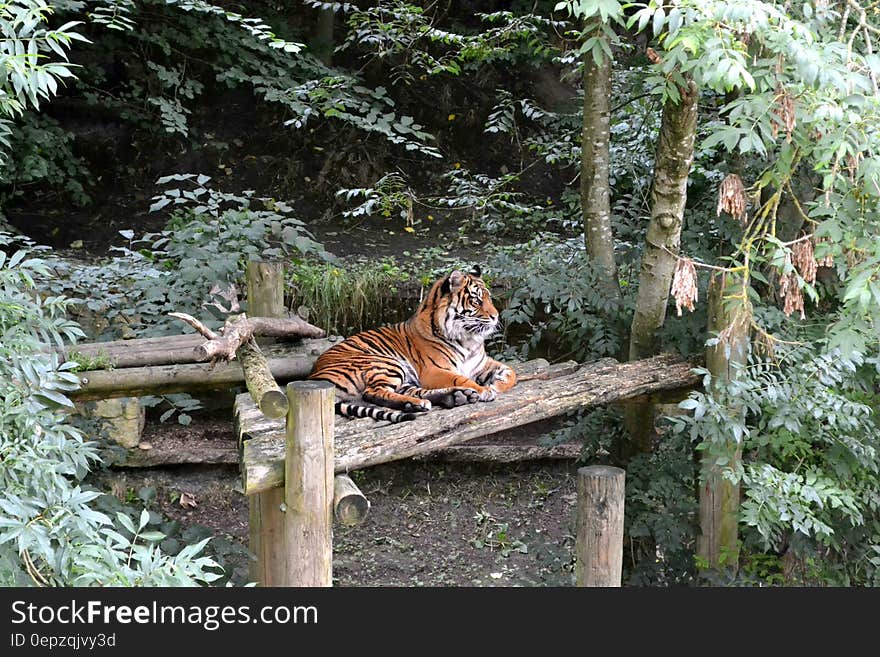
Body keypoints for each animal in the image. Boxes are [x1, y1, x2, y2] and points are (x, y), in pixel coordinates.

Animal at [308, 266, 516, 422]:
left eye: (489, 298)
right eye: (476, 300)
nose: (496, 316)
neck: (468, 339)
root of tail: (314, 376)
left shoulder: (481, 363)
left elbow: (512, 372)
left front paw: (497, 385)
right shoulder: (433, 370)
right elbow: (462, 378)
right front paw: (484, 390)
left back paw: (452, 397)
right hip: (384, 363)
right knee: (372, 392)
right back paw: (421, 403)